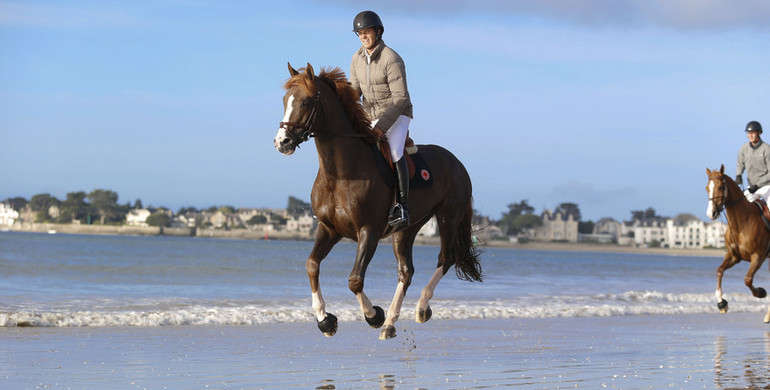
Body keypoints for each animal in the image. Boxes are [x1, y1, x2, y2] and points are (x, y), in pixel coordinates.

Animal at [274, 63, 480, 338]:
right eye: (285, 100)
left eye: (306, 102)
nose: (282, 142)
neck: (341, 173)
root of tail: (457, 163)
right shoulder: (329, 229)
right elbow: (311, 265)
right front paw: (325, 320)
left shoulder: (368, 231)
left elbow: (354, 280)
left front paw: (373, 315)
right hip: (406, 230)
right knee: (406, 272)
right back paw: (391, 322)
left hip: (448, 217)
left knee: (445, 259)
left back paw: (420, 308)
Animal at [704, 165, 768, 322]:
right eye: (707, 188)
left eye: (720, 187)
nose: (711, 214)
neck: (742, 223)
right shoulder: (734, 256)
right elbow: (719, 271)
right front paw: (721, 303)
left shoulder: (758, 257)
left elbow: (747, 280)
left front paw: (761, 292)